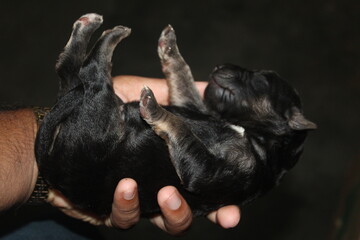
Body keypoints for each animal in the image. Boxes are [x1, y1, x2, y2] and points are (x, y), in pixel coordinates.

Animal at [34, 14, 316, 221]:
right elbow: (183, 83)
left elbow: (181, 128)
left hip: (97, 129)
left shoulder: (211, 172)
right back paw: (88, 28)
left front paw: (155, 109)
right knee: (69, 71)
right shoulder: (192, 105)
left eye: (261, 80)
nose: (219, 67)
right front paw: (169, 48)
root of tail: (48, 160)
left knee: (92, 76)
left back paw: (109, 37)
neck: (254, 133)